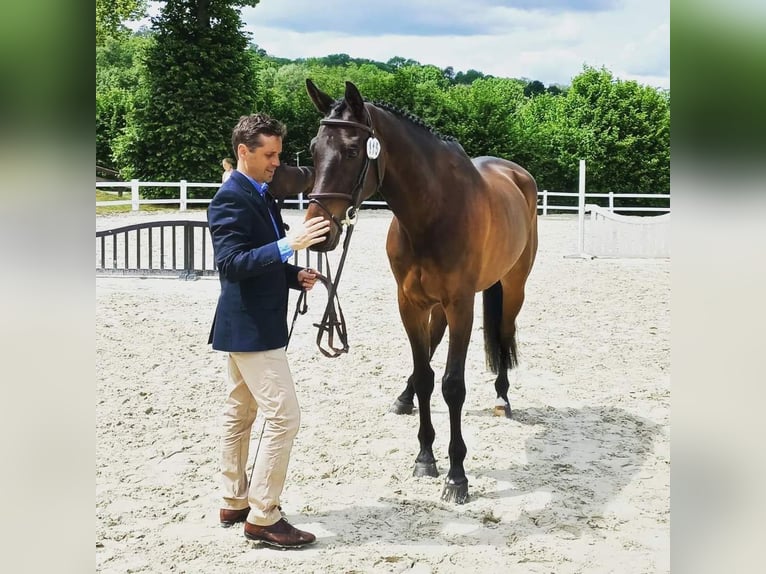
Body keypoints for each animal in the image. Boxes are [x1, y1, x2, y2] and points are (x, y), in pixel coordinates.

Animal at [304, 80, 536, 504]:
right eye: (314, 148)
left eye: (351, 150)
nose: (318, 232)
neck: (433, 211)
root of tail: (516, 173)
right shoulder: (410, 303)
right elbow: (426, 374)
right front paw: (426, 457)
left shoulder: (461, 305)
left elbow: (452, 385)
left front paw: (457, 476)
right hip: (436, 304)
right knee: (432, 344)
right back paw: (405, 397)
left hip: (513, 287)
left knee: (503, 332)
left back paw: (502, 398)